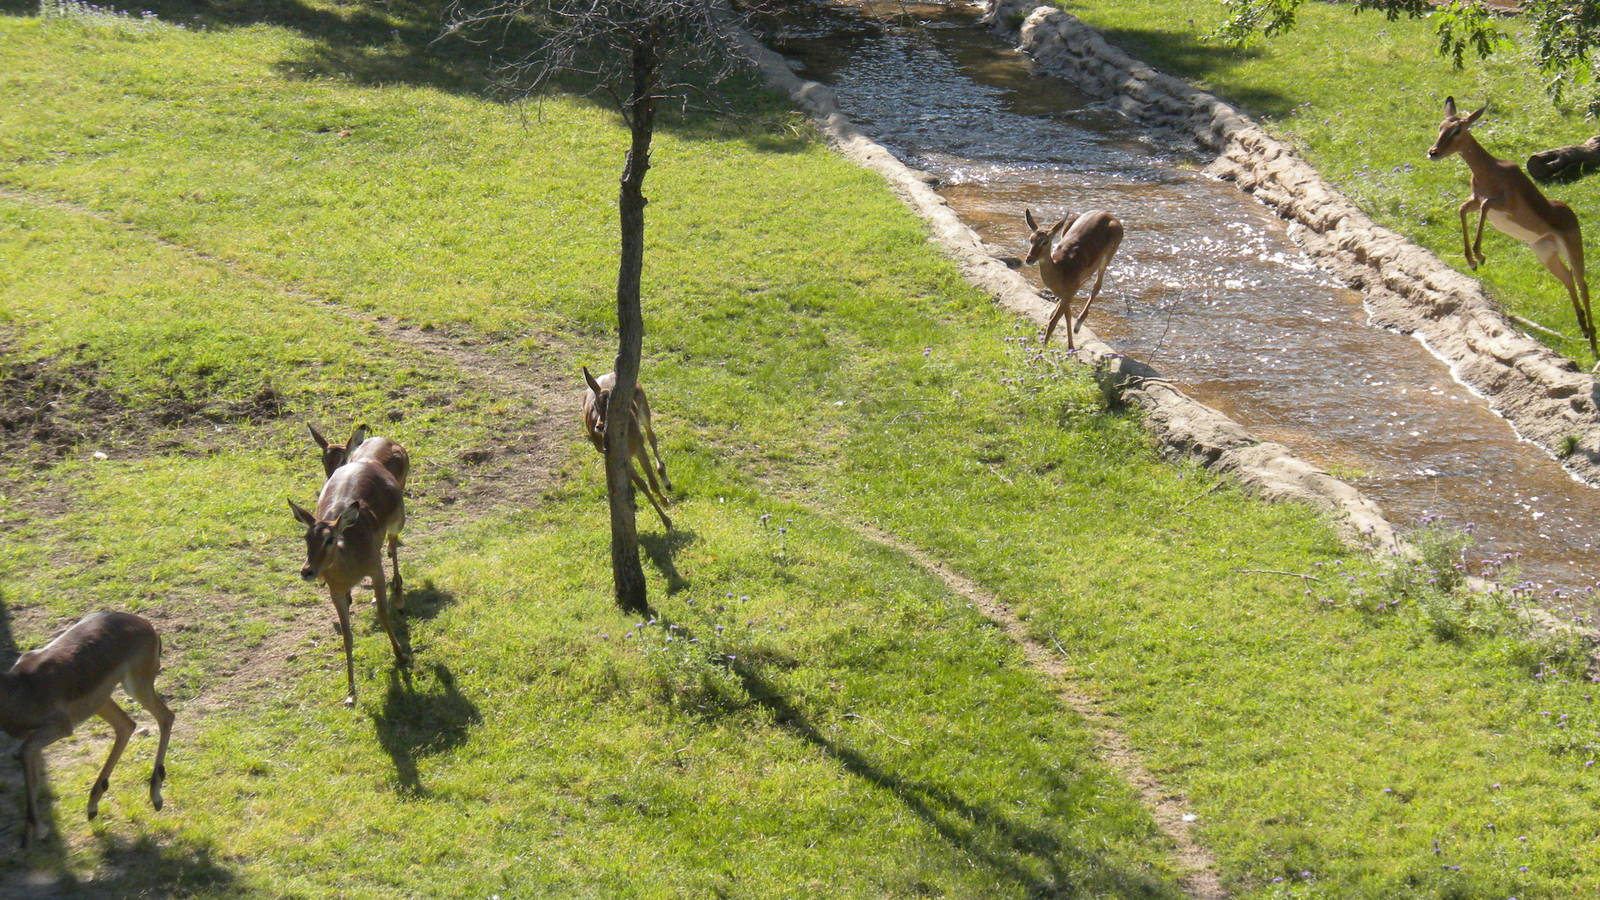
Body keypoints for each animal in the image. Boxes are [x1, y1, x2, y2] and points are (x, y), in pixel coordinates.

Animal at [0, 612, 173, 848]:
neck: (18, 689)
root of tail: (147, 625)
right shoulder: (34, 739)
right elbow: (31, 772)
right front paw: (31, 834)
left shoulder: (61, 727)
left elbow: (23, 754)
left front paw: (38, 832)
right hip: (102, 702)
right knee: (126, 725)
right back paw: (92, 806)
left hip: (135, 686)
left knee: (165, 717)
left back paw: (155, 797)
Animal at [289, 443, 409, 706]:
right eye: (306, 537)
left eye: (329, 539)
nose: (307, 571)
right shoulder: (336, 591)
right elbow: (346, 635)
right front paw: (351, 693)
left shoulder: (375, 571)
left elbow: (383, 615)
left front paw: (401, 655)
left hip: (398, 523)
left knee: (393, 545)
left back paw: (398, 596)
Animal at [581, 367, 672, 531]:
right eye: (595, 405)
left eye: (611, 407)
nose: (599, 426)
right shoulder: (619, 456)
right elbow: (642, 484)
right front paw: (666, 520)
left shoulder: (639, 447)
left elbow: (652, 483)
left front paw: (666, 506)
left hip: (644, 407)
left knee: (651, 435)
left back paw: (666, 480)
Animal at [1022, 208, 1124, 349]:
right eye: (1031, 239)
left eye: (1045, 241)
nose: (1029, 259)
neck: (1060, 272)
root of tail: (1108, 215)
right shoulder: (1066, 295)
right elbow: (1067, 315)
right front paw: (1070, 346)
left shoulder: (1069, 294)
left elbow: (1054, 321)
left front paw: (1042, 349)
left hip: (1109, 254)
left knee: (1097, 286)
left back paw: (1078, 325)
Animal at [1428, 96, 1596, 354]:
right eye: (1440, 126)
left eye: (1457, 129)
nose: (1433, 152)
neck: (1489, 171)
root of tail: (1570, 213)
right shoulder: (1474, 200)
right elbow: (1462, 210)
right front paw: (1472, 261)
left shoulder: (1502, 203)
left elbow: (1485, 206)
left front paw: (1480, 255)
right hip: (1545, 254)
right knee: (1567, 278)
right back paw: (1584, 330)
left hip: (1573, 249)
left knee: (1583, 283)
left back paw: (1593, 343)